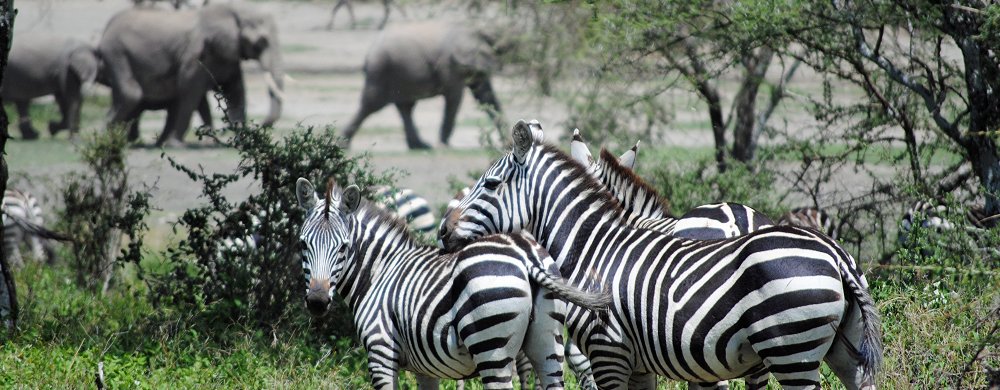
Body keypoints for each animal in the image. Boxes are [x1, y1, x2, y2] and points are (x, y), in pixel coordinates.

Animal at [97, 3, 284, 146]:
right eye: (261, 42)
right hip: (116, 53)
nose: (262, 124)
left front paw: (241, 142)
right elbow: (190, 93)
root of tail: (107, 27)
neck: (236, 10)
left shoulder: (227, 54)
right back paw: (107, 139)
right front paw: (175, 144)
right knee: (131, 94)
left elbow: (235, 91)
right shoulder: (195, 56)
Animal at [292, 179, 612, 390]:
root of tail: (525, 254)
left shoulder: (380, 352)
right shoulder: (425, 368)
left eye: (343, 247)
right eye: (303, 244)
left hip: (491, 349)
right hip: (547, 345)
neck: (379, 273)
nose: (317, 302)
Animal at [342, 21, 504, 149]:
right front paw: (443, 145)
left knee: (405, 107)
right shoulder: (450, 64)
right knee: (371, 105)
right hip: (380, 70)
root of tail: (368, 54)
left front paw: (506, 142)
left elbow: (484, 95)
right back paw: (343, 144)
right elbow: (454, 97)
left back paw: (420, 146)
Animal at [440, 119, 884, 390]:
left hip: (791, 350)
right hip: (839, 349)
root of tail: (836, 256)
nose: (443, 231)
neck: (593, 249)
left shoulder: (607, 350)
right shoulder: (639, 362)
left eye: (491, 184)